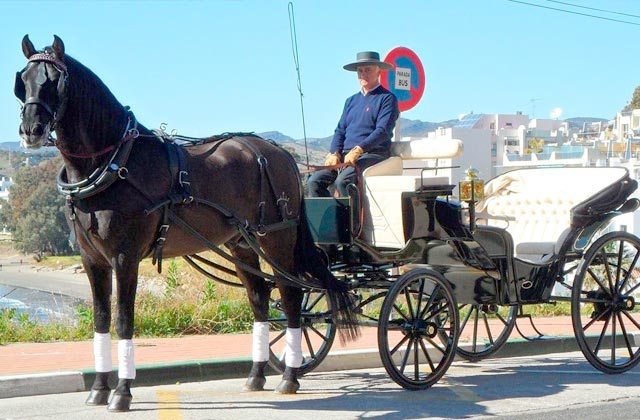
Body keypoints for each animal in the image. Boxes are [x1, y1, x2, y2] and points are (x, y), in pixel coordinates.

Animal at [13, 35, 360, 410]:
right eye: (23, 80)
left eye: (54, 82)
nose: (30, 130)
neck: (113, 164)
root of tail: (279, 153)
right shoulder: (92, 259)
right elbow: (101, 319)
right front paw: (99, 389)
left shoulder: (125, 257)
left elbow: (123, 320)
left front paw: (122, 392)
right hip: (242, 244)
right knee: (259, 297)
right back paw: (256, 375)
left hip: (277, 240)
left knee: (292, 294)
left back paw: (290, 377)